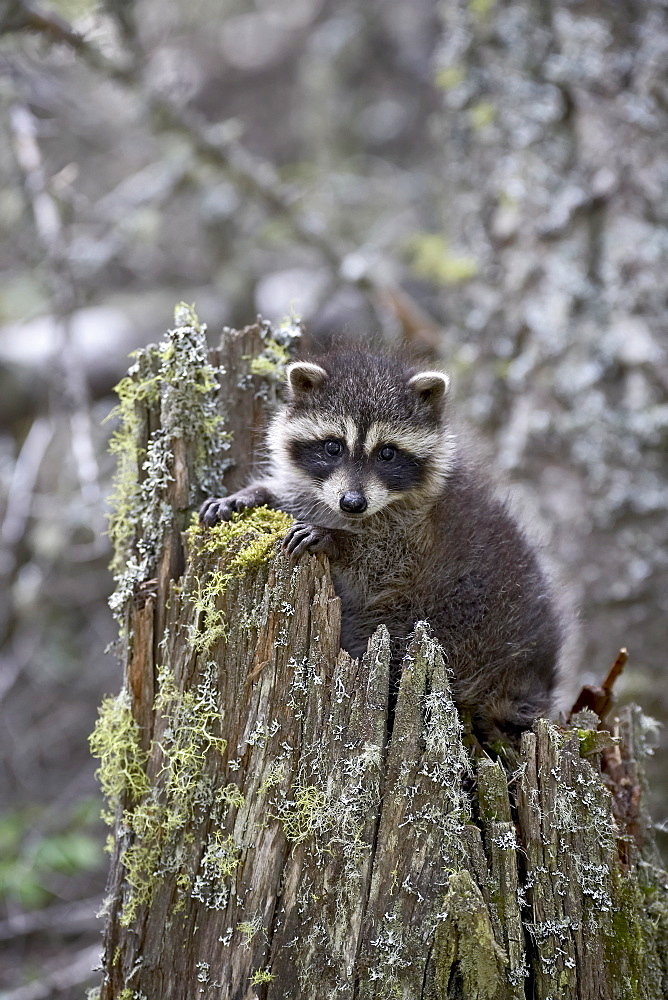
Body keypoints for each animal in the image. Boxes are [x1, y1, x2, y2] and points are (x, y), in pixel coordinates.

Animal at [200, 350, 568, 744]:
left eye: (387, 453)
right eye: (333, 446)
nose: (352, 503)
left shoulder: (418, 535)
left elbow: (382, 562)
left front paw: (338, 540)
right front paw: (249, 495)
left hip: (459, 623)